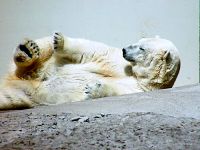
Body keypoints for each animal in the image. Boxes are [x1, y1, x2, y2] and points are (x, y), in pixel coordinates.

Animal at [0, 32, 180, 109]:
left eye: (142, 48)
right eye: (138, 40)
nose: (124, 50)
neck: (137, 74)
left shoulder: (140, 88)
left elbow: (118, 90)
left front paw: (93, 89)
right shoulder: (118, 63)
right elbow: (93, 51)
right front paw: (60, 40)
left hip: (23, 93)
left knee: (9, 97)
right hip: (42, 64)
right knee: (42, 50)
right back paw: (27, 51)